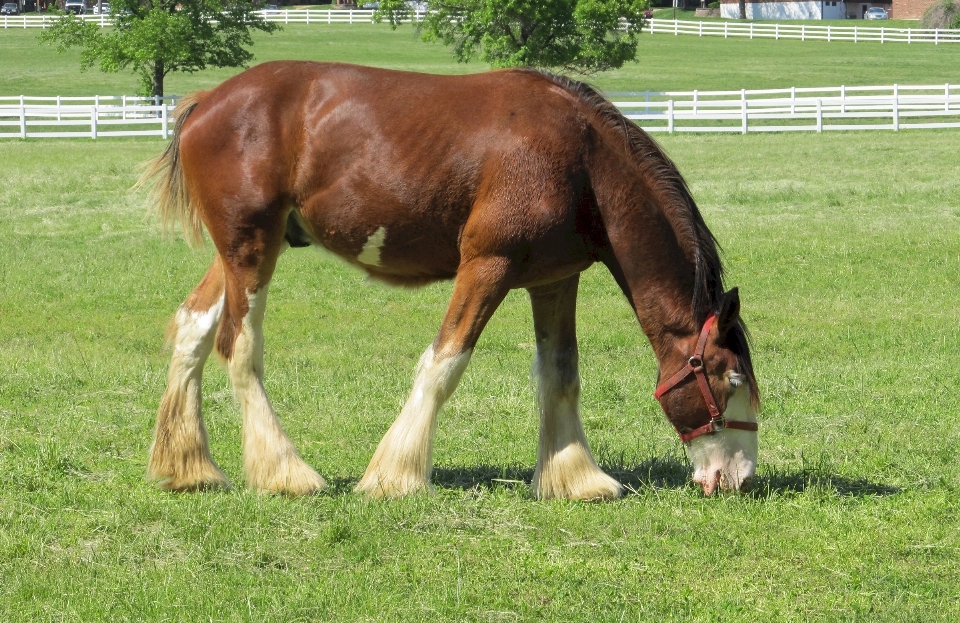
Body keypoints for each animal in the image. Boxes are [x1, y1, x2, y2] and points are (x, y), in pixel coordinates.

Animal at [141, 61, 756, 502]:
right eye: (730, 380)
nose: (742, 477)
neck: (580, 160)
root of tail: (204, 103)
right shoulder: (486, 266)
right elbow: (444, 363)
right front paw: (395, 476)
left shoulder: (554, 281)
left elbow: (560, 375)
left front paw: (575, 479)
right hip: (251, 251)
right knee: (238, 347)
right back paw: (285, 473)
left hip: (238, 253)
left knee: (193, 329)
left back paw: (189, 468)